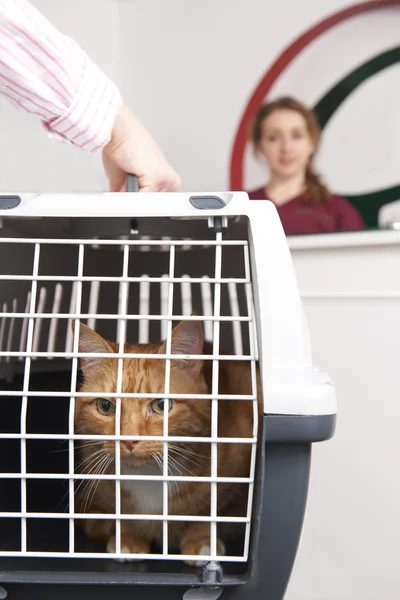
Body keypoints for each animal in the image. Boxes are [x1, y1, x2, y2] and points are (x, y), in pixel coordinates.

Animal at [72, 322, 260, 564]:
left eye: (161, 405)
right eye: (105, 406)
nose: (129, 439)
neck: (149, 476)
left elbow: (208, 509)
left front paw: (201, 541)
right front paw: (128, 537)